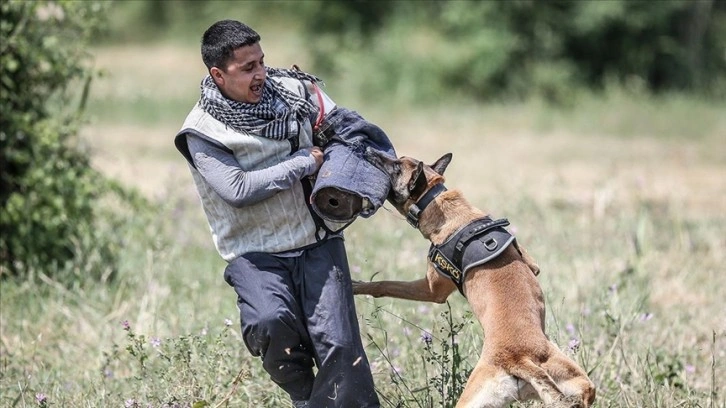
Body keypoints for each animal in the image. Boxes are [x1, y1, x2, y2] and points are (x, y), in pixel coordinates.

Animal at [352, 151, 596, 406]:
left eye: (396, 167)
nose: (369, 152)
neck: (434, 200)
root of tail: (518, 358)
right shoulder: (532, 264)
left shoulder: (431, 290)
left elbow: (386, 284)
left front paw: (356, 285)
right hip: (575, 384)